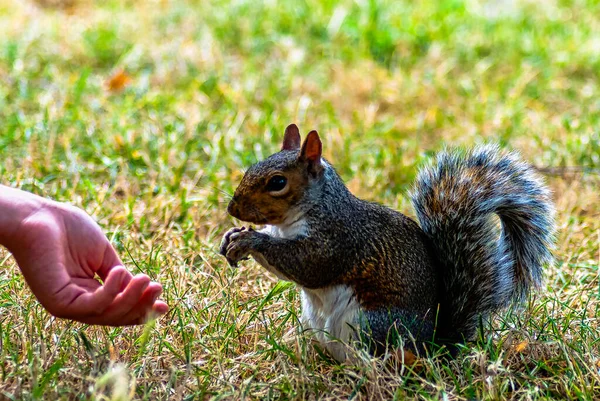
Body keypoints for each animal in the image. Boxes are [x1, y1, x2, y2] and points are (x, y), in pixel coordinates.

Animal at [218, 123, 556, 360]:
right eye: (251, 167)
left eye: (278, 182)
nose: (232, 209)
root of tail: (433, 345)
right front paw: (232, 236)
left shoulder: (338, 241)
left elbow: (309, 266)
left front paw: (251, 239)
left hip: (372, 325)